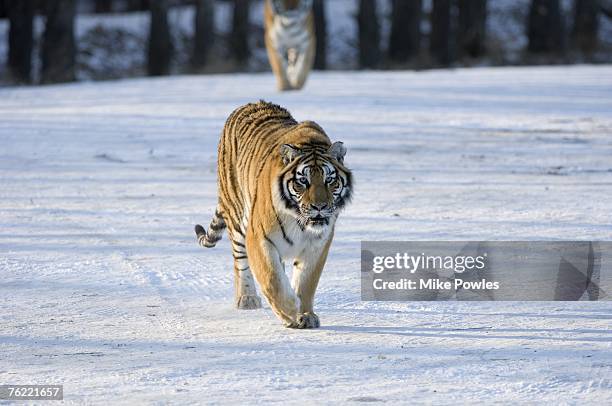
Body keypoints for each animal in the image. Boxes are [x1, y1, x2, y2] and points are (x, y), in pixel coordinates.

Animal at [194, 100, 352, 328]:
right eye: (303, 181)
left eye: (329, 180)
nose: (319, 206)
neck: (300, 223)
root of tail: (250, 103)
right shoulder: (259, 237)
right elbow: (271, 278)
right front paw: (290, 312)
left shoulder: (318, 243)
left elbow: (306, 282)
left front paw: (306, 315)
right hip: (237, 216)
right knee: (240, 262)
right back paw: (247, 298)